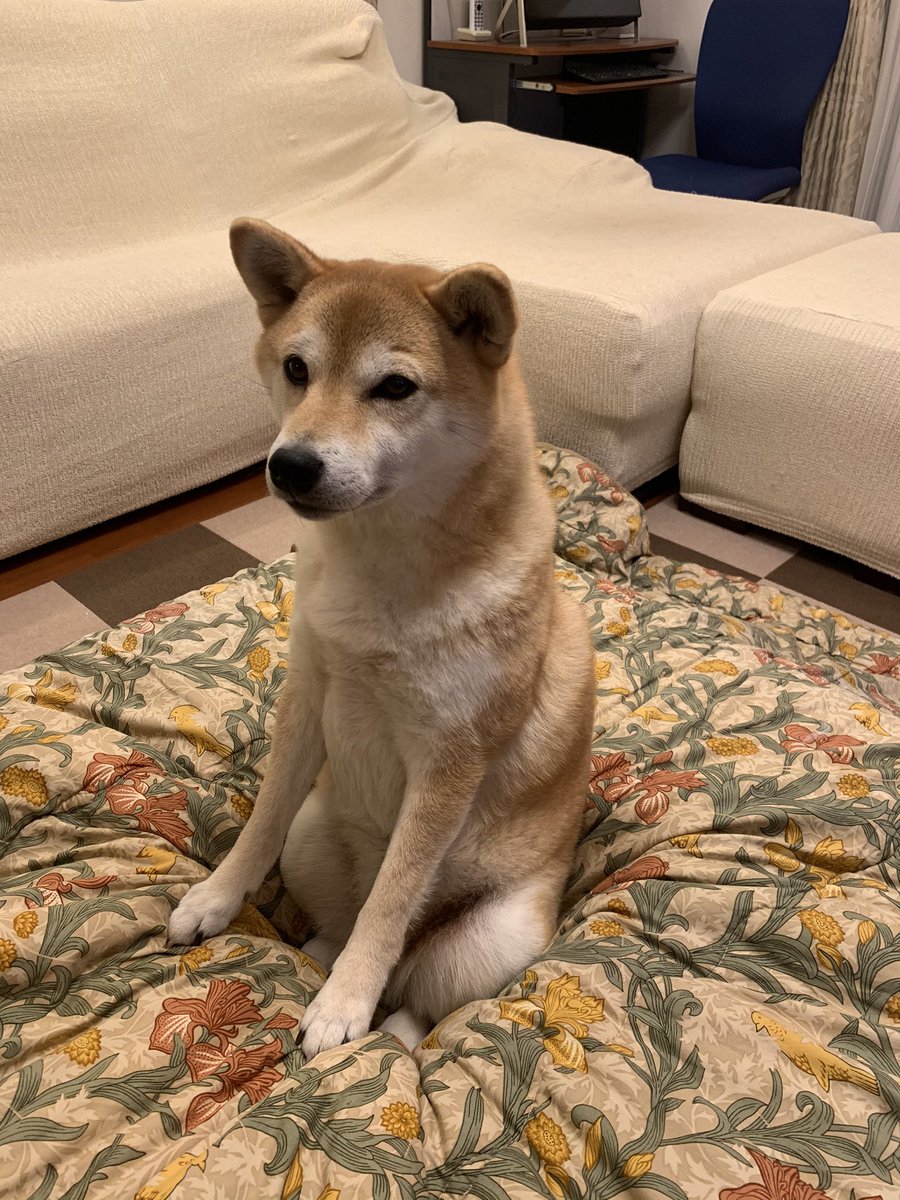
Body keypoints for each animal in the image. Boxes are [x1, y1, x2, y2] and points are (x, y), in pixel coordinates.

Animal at [168, 219, 594, 1057]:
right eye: (297, 369)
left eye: (394, 387)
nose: (291, 464)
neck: (382, 567)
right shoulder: (309, 694)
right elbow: (260, 822)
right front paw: (215, 897)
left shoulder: (451, 760)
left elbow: (393, 901)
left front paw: (344, 1005)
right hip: (313, 838)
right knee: (338, 922)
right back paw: (317, 953)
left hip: (490, 940)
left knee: (420, 998)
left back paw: (383, 1023)